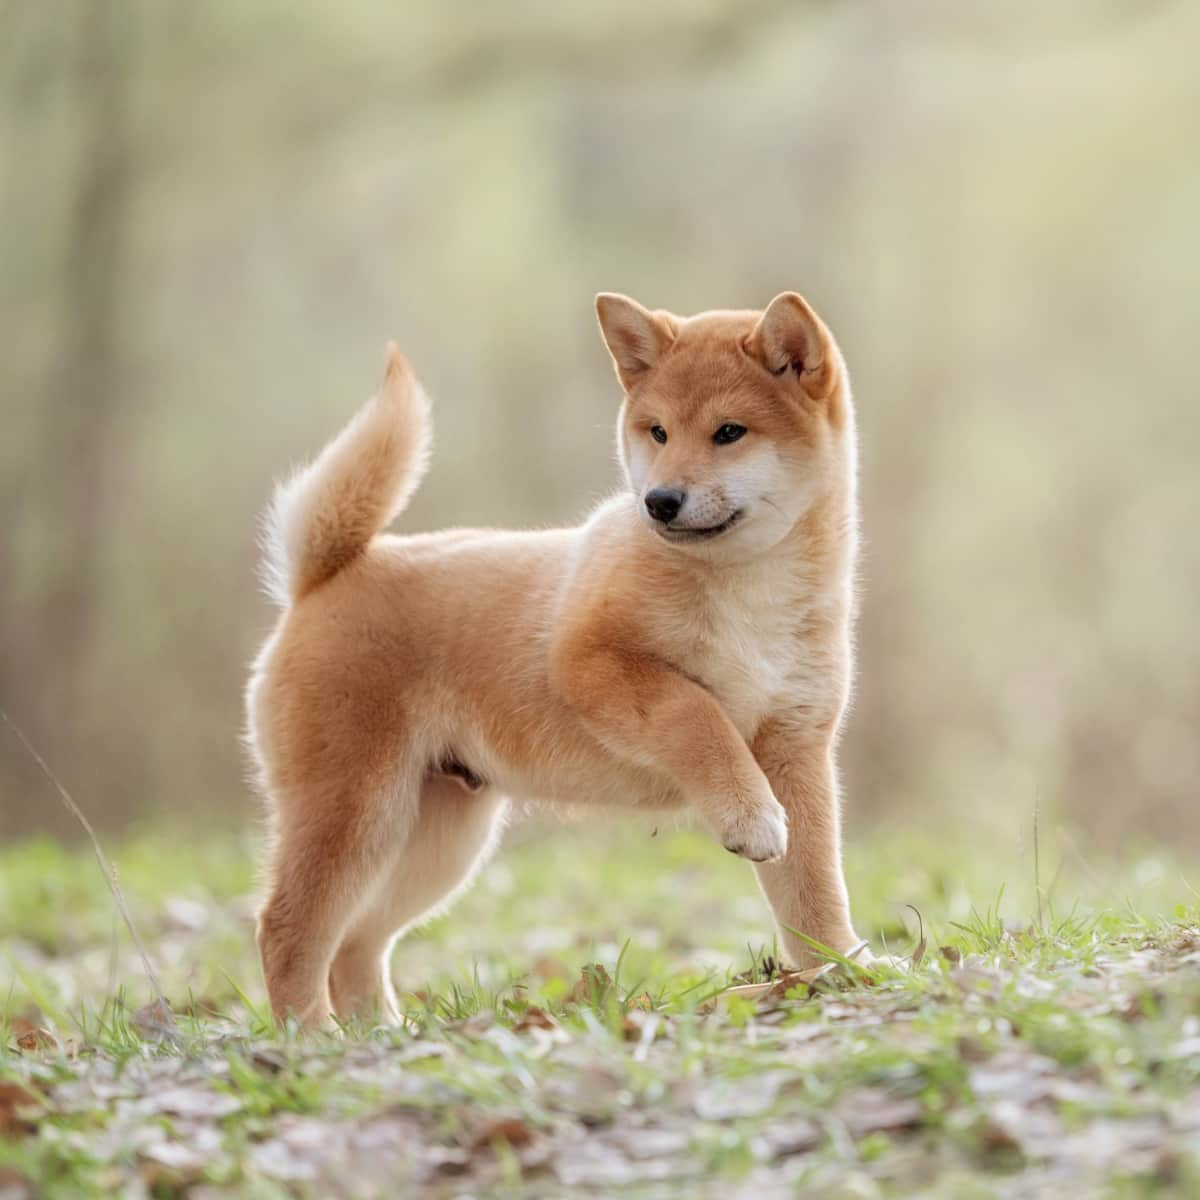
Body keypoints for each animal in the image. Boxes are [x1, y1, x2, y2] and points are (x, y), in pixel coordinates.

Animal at [246, 288, 864, 1022]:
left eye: (729, 432)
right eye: (657, 433)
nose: (659, 501)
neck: (748, 588)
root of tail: (321, 578)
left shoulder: (797, 747)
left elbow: (814, 893)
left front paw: (843, 968)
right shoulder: (590, 662)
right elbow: (696, 714)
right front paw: (750, 815)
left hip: (434, 839)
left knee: (354, 944)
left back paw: (383, 1033)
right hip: (353, 811)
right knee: (288, 930)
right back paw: (312, 1036)